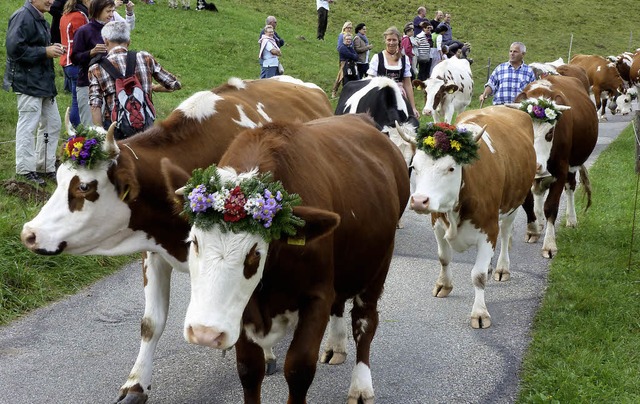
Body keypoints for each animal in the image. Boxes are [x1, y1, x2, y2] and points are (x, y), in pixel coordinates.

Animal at [18, 76, 336, 404]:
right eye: (58, 177)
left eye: (84, 187)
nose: (29, 233)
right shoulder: (154, 252)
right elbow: (151, 323)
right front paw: (135, 386)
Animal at [161, 113, 410, 404]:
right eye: (194, 242)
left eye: (255, 253)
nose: (205, 334)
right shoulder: (242, 308)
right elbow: (249, 369)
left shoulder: (317, 296)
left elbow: (299, 368)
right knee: (340, 303)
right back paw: (336, 346)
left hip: (379, 264)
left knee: (364, 321)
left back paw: (361, 386)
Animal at [398, 107, 536, 328]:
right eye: (414, 167)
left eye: (451, 168)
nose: (419, 201)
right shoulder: (437, 224)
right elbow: (444, 258)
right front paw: (444, 285)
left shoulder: (488, 229)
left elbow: (478, 276)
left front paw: (479, 313)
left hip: (513, 204)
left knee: (506, 233)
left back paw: (501, 268)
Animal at [510, 75, 600, 258]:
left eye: (550, 133)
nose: (536, 164)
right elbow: (527, 202)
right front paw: (532, 229)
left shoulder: (561, 168)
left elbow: (551, 206)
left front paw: (549, 245)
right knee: (538, 190)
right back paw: (539, 222)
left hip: (572, 164)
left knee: (570, 186)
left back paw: (571, 219)